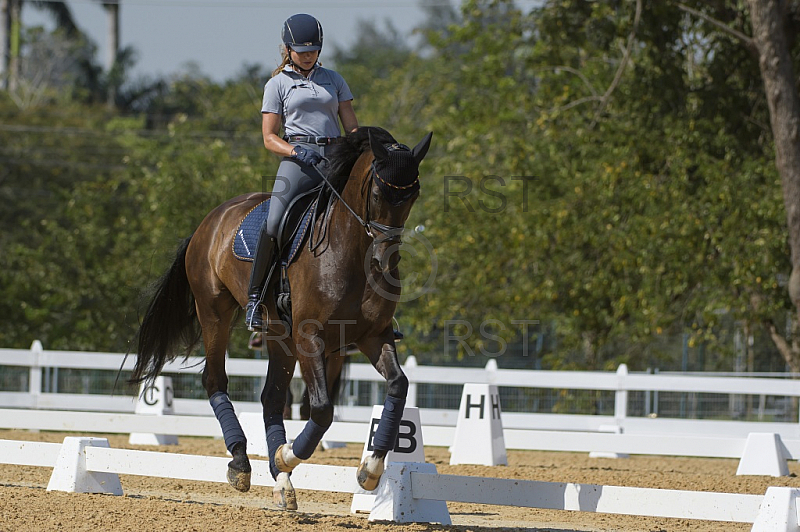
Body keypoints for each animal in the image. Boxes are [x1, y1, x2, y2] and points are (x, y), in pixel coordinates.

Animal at [131, 127, 432, 510]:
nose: (386, 261)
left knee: (271, 398)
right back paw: (241, 462)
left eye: (414, 194)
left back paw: (281, 481)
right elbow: (321, 408)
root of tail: (208, 222)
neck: (349, 250)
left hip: (280, 337)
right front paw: (287, 455)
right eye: (378, 193)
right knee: (216, 381)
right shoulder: (309, 337)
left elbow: (398, 385)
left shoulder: (373, 336)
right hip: (214, 314)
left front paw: (371, 468)